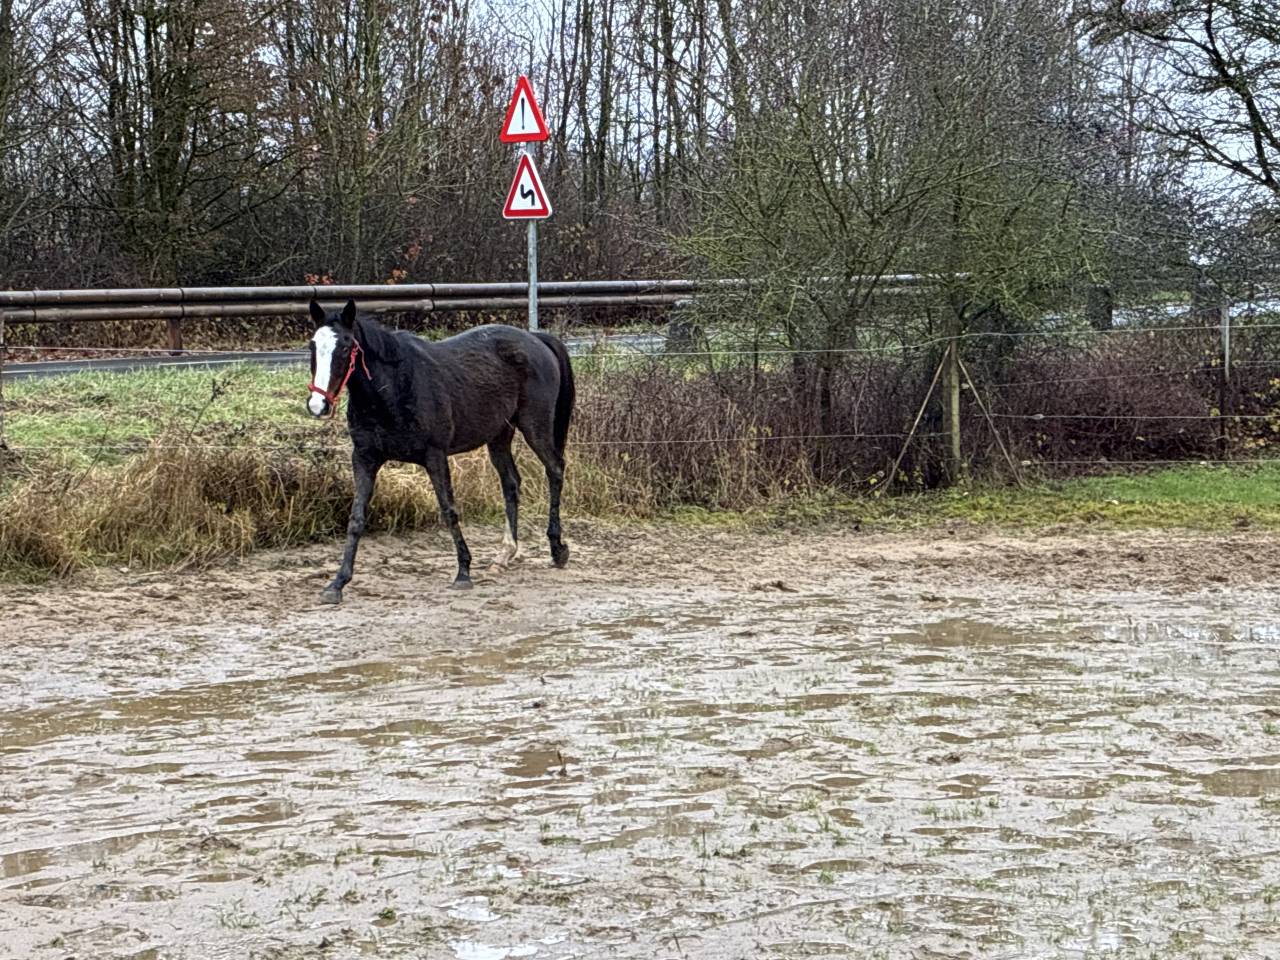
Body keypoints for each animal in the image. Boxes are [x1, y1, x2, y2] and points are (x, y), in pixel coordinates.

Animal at [305, 299, 574, 603]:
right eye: (313, 346)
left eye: (346, 347)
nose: (318, 405)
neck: (393, 389)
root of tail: (535, 339)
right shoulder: (364, 458)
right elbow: (356, 519)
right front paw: (337, 583)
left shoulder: (435, 456)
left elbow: (448, 510)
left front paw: (463, 572)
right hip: (499, 436)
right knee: (511, 483)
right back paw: (504, 555)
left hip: (534, 427)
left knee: (555, 470)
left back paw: (557, 549)